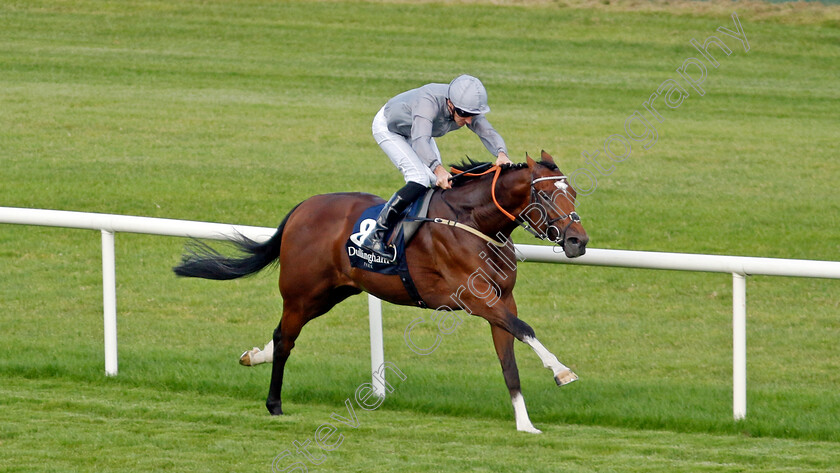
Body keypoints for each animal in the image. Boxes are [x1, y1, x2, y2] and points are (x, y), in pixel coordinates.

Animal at [173, 150, 588, 432]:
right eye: (546, 197)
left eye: (574, 193)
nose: (578, 241)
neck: (473, 221)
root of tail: (303, 208)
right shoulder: (473, 298)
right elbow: (526, 330)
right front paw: (562, 371)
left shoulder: (501, 299)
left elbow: (509, 360)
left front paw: (525, 423)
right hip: (302, 293)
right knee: (285, 338)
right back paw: (273, 403)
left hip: (333, 292)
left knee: (283, 335)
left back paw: (254, 356)